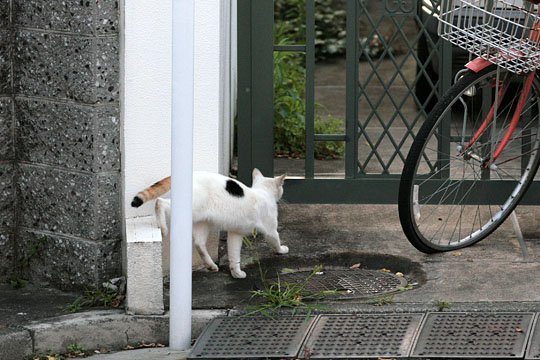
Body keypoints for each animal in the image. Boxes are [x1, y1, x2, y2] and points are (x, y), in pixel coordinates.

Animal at [131, 169, 288, 278]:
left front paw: (236, 273)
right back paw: (163, 227)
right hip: (190, 207)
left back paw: (211, 265)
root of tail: (191, 172)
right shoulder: (270, 229)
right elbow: (276, 239)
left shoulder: (235, 233)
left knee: (199, 244)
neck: (263, 192)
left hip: (202, 222)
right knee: (160, 202)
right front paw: (281, 250)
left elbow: (234, 256)